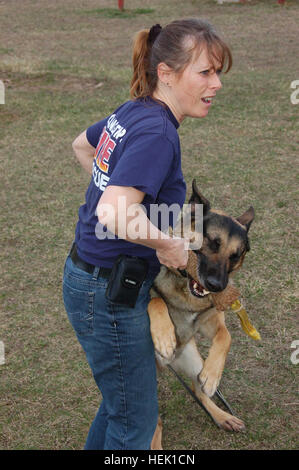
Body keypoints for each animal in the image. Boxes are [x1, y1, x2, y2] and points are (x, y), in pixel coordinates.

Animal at [149, 179, 254, 448]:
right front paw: (164, 337)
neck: (185, 290)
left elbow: (226, 337)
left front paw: (213, 375)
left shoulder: (211, 321)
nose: (216, 286)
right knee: (152, 420)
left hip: (193, 358)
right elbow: (156, 300)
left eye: (235, 256)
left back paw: (222, 416)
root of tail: (168, 365)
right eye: (212, 242)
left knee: (198, 389)